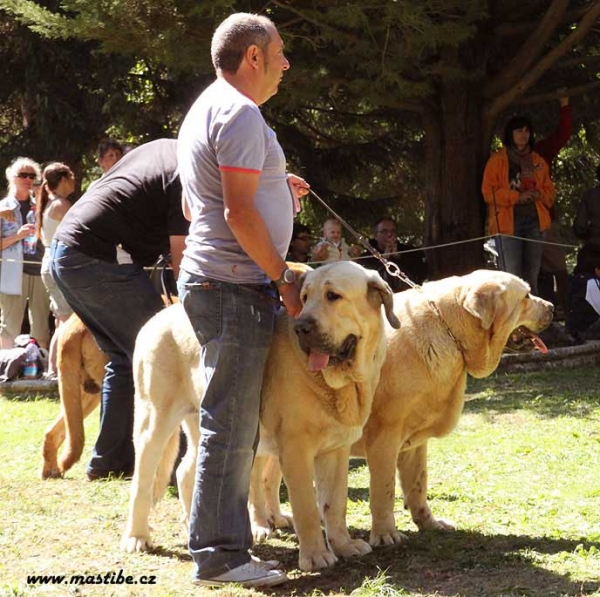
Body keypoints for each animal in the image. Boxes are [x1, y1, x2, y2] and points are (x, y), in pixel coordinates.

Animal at [122, 260, 400, 568]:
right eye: (305, 297)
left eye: (333, 296)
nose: (302, 327)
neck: (341, 383)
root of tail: (156, 318)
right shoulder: (296, 449)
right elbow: (306, 507)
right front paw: (316, 556)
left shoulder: (336, 450)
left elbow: (334, 503)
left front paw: (344, 545)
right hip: (154, 422)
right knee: (142, 481)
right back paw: (137, 537)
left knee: (186, 470)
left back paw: (190, 527)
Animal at [255, 270, 556, 544]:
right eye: (526, 296)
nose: (552, 307)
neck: (448, 328)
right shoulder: (384, 438)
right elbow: (384, 489)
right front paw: (385, 533)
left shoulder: (414, 442)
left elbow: (418, 483)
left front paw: (428, 522)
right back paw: (260, 526)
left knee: (270, 478)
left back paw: (278, 518)